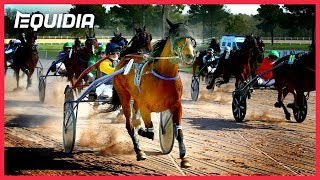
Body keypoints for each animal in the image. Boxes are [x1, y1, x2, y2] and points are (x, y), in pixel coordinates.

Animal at [109, 19, 196, 168]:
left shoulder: (177, 105)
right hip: (124, 95)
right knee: (129, 125)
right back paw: (139, 151)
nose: (190, 55)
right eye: (177, 34)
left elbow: (179, 132)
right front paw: (141, 130)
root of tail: (126, 57)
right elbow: (150, 133)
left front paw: (184, 158)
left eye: (191, 35)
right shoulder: (145, 107)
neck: (164, 76)